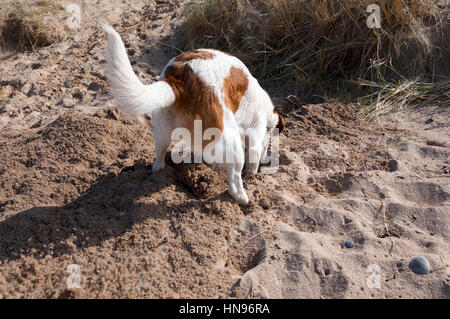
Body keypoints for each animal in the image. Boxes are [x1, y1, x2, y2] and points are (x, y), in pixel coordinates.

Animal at [103, 24, 284, 205]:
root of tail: (180, 79)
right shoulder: (254, 137)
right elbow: (252, 159)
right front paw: (251, 176)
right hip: (230, 139)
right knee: (234, 181)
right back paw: (243, 198)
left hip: (162, 128)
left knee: (159, 156)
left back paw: (159, 174)